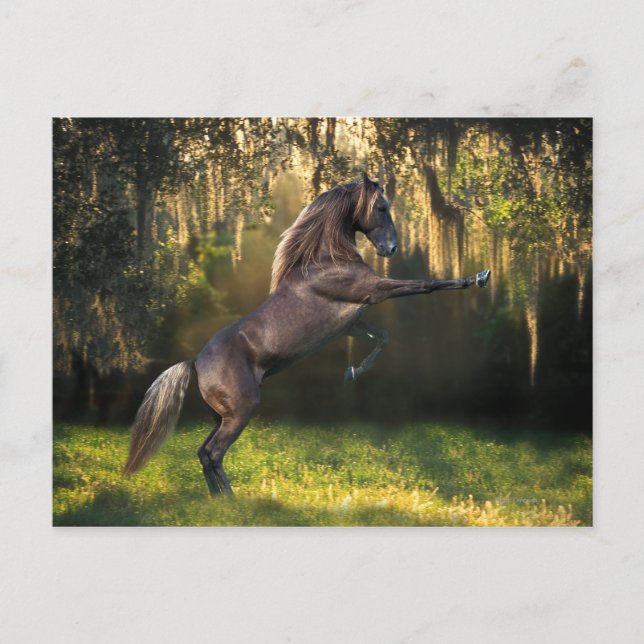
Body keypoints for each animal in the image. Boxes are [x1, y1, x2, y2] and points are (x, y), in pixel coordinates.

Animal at [124, 174, 491, 495]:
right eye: (382, 208)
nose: (392, 248)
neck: (327, 260)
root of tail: (195, 362)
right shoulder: (375, 291)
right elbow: (426, 285)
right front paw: (478, 277)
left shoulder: (351, 322)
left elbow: (382, 337)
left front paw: (351, 373)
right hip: (241, 411)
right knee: (213, 453)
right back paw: (230, 500)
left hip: (221, 416)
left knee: (204, 453)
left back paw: (221, 500)